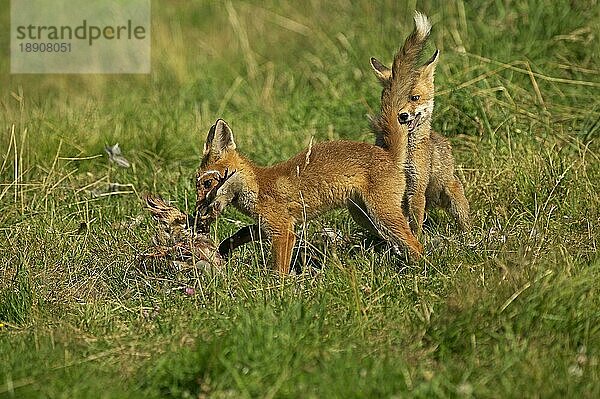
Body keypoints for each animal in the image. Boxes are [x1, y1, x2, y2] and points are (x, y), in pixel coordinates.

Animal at [196, 119, 422, 276]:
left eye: (207, 184)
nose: (197, 215)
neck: (258, 187)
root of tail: (389, 155)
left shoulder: (283, 232)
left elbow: (279, 270)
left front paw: (277, 289)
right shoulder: (271, 225)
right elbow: (243, 232)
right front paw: (224, 247)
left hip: (382, 215)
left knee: (416, 243)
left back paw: (420, 269)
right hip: (366, 218)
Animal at [368, 21, 472, 236]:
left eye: (414, 98)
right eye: (388, 101)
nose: (401, 116)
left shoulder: (416, 188)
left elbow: (415, 225)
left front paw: (417, 239)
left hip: (454, 195)